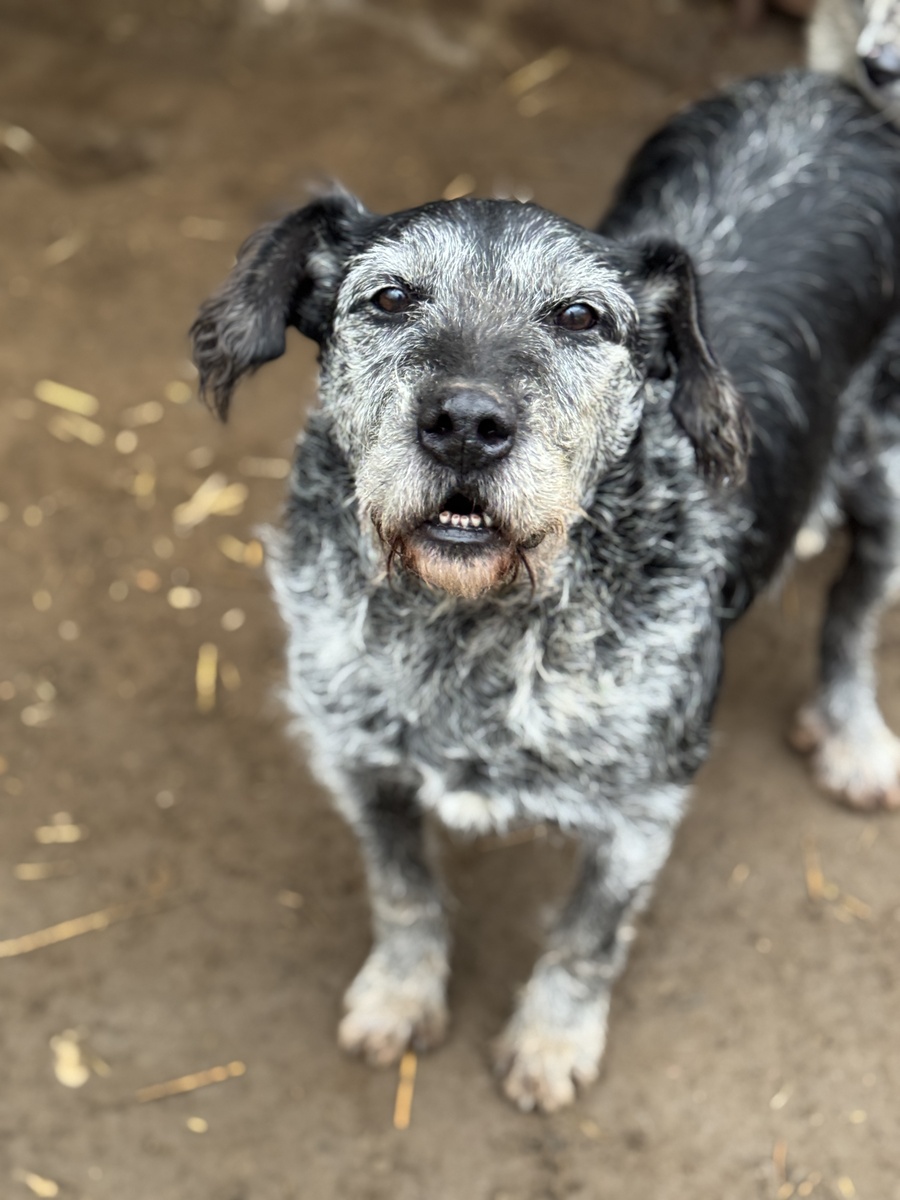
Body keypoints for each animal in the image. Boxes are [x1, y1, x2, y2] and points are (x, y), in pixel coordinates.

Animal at [190, 70, 900, 1112]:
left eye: (579, 317)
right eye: (389, 298)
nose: (466, 424)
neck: (469, 625)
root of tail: (835, 89)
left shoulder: (643, 810)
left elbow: (585, 940)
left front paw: (550, 1045)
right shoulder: (357, 759)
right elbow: (402, 892)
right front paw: (399, 999)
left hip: (891, 476)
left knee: (854, 614)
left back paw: (853, 736)